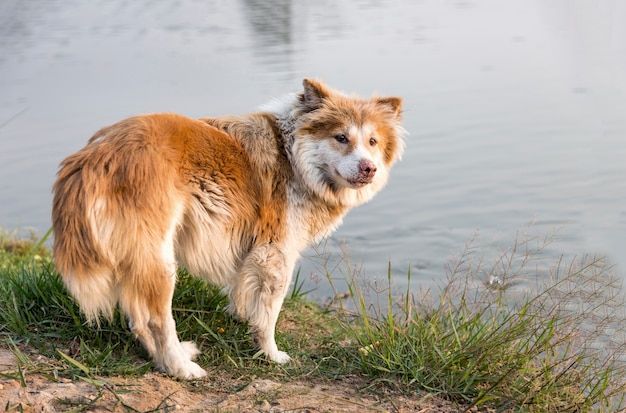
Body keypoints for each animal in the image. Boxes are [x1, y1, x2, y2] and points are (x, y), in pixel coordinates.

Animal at [52, 79, 404, 378]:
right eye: (341, 138)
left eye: (372, 141)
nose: (369, 168)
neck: (293, 156)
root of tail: (92, 156)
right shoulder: (276, 254)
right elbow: (269, 314)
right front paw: (270, 354)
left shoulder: (250, 248)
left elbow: (243, 291)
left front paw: (241, 320)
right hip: (159, 260)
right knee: (155, 319)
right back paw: (182, 369)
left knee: (138, 320)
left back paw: (170, 360)